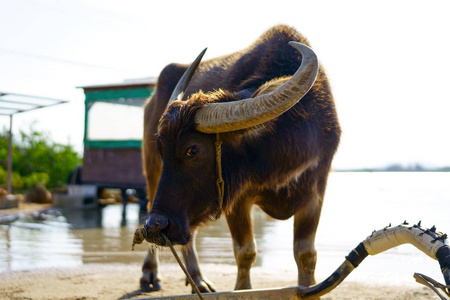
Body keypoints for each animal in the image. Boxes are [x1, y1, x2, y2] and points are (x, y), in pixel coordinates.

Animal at [139, 24, 340, 292]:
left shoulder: (316, 192)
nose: (155, 227)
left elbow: (306, 254)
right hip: (151, 174)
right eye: (162, 149)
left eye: (193, 150)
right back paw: (154, 274)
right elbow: (245, 253)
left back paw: (197, 279)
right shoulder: (236, 199)